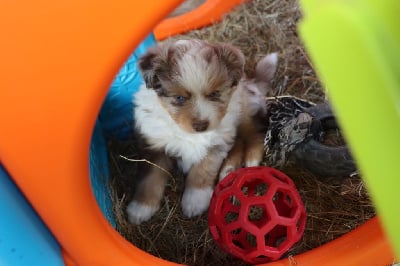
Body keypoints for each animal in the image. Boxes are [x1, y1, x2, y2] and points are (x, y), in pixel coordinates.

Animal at [126, 39, 245, 224]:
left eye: (214, 94)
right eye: (179, 98)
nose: (201, 126)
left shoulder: (218, 142)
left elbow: (203, 171)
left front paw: (195, 202)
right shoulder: (154, 146)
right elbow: (150, 178)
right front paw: (140, 209)